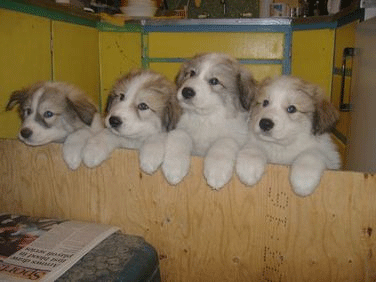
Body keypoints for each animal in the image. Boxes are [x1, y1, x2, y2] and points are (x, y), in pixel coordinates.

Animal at [163, 53, 258, 189]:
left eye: (214, 81)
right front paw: (174, 167)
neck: (205, 119)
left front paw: (216, 172)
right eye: (192, 73)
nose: (186, 91)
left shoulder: (235, 137)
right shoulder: (180, 130)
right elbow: (180, 135)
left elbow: (224, 142)